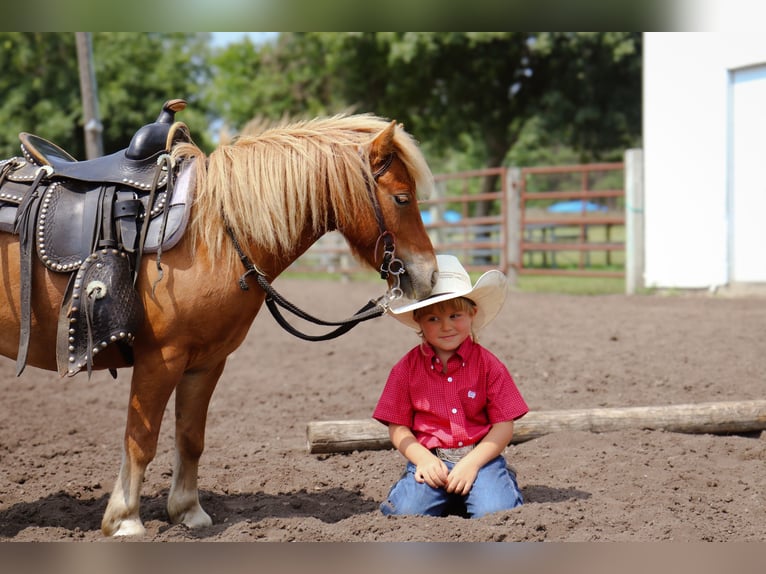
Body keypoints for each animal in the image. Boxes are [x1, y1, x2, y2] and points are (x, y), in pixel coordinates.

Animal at [0, 115, 438, 536]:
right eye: (402, 198)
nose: (430, 275)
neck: (215, 233)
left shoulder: (206, 362)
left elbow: (191, 438)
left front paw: (188, 511)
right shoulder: (160, 360)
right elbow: (141, 440)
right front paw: (124, 519)